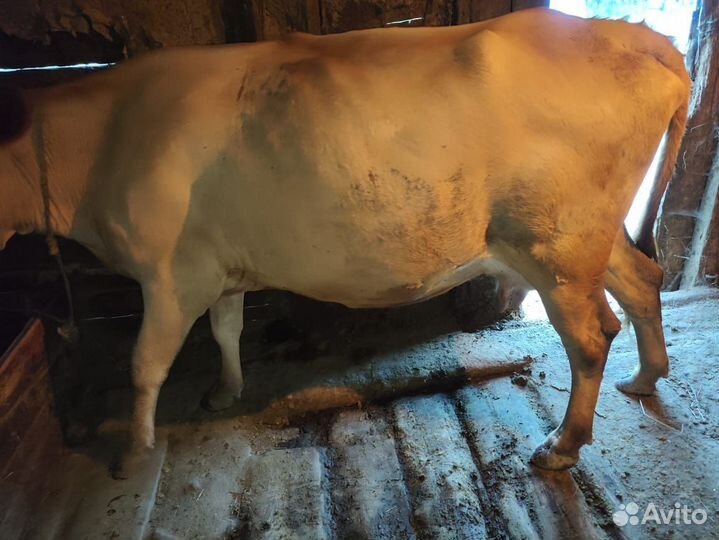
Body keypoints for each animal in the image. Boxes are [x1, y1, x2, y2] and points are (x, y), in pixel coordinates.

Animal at [0, 7, 689, 476]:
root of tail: (645, 40)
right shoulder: (218, 262)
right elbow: (226, 329)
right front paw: (225, 391)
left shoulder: (170, 274)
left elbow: (145, 365)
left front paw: (135, 451)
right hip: (589, 237)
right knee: (641, 281)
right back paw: (646, 377)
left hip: (555, 246)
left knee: (592, 336)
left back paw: (562, 446)